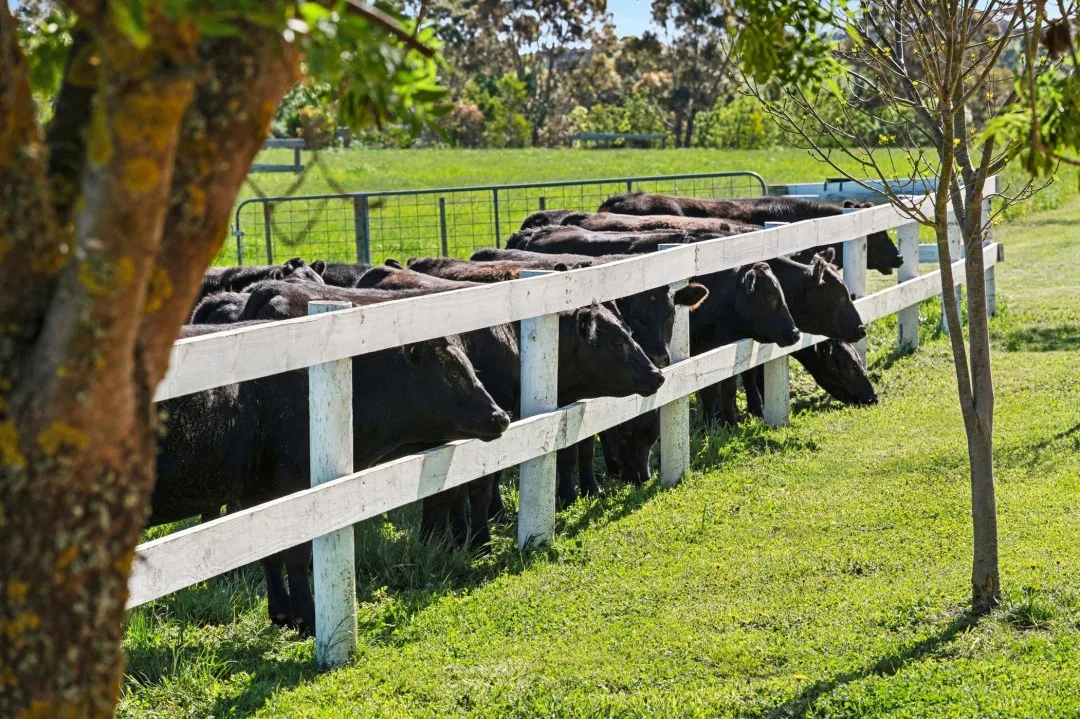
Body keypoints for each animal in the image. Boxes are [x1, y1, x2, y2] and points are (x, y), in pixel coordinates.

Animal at [151, 321, 511, 635]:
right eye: (453, 373)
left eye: (471, 369)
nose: (501, 416)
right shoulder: (293, 489)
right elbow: (296, 557)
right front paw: (307, 620)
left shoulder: (258, 494)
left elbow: (271, 557)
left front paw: (281, 614)